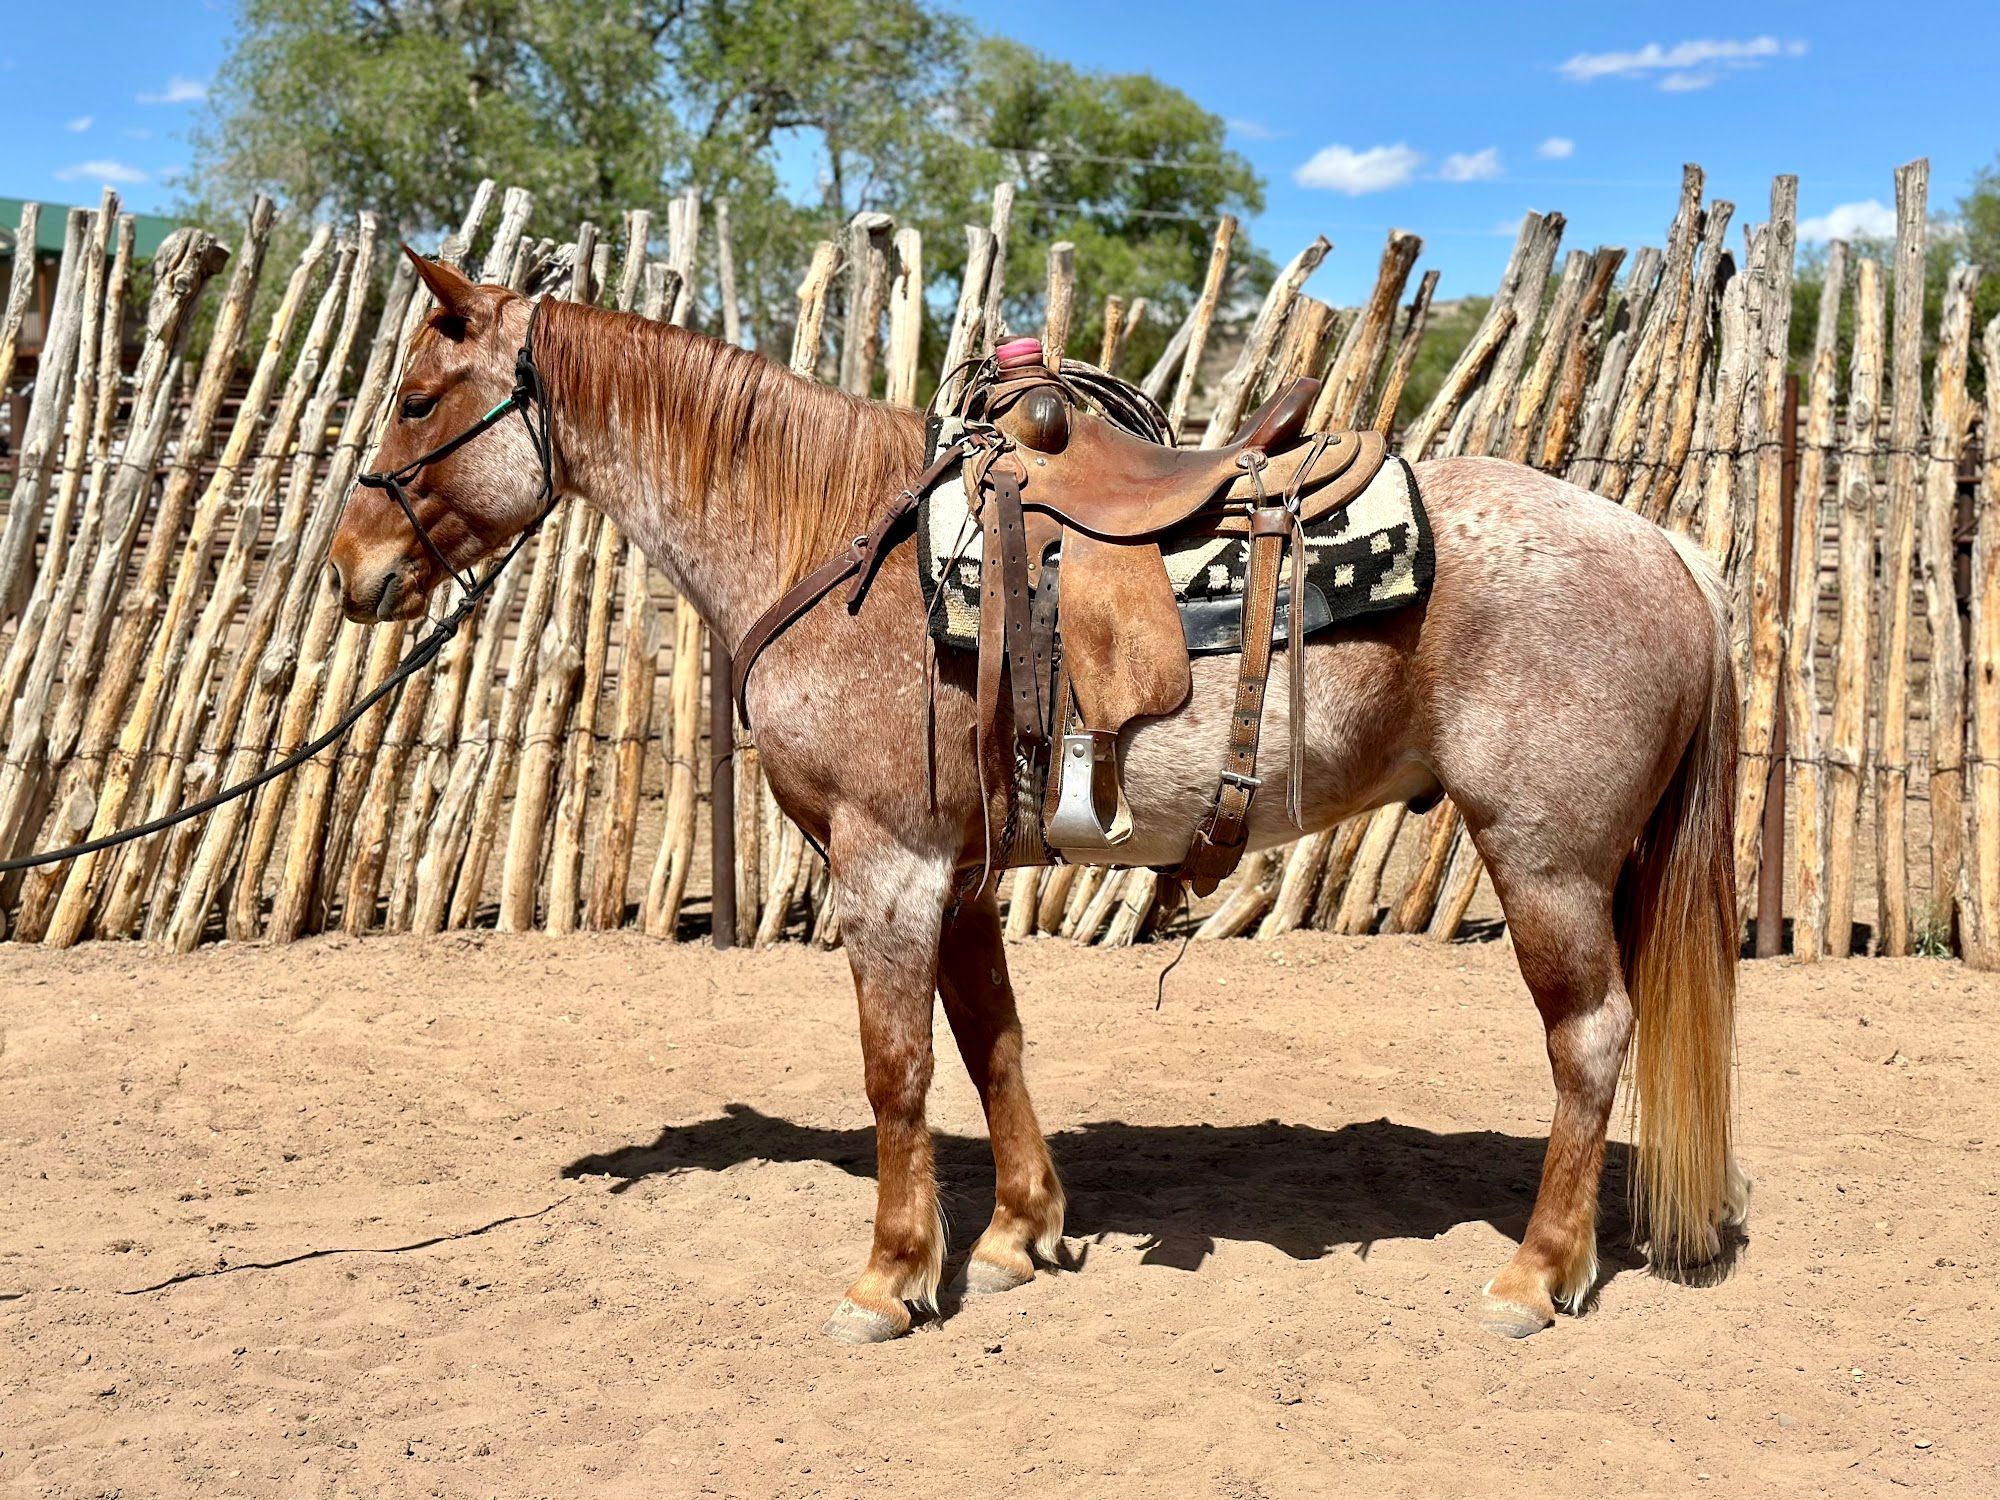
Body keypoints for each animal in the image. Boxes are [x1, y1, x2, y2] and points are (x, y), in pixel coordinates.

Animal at [331, 252, 1746, 1343]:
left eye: (415, 399)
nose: (351, 568)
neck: (832, 543)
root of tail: (1665, 546)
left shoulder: (884, 863)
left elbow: (895, 1068)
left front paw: (890, 1278)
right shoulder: (951, 873)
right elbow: (989, 1040)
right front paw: (1017, 1234)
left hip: (1544, 861)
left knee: (1588, 1039)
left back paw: (1533, 1274)